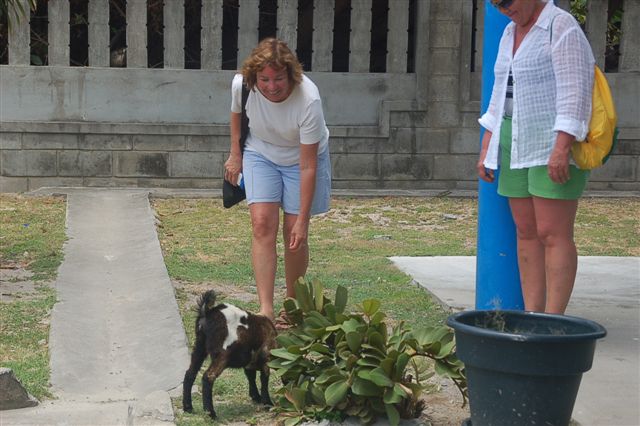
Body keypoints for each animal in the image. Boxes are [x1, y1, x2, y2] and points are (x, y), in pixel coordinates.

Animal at [182, 290, 277, 419]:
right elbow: (264, 379)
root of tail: (207, 312)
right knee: (208, 377)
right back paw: (211, 414)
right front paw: (268, 403)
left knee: (190, 374)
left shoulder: (250, 363)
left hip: (199, 347)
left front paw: (256, 397)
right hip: (223, 354)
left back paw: (188, 408)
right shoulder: (266, 358)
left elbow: (251, 377)